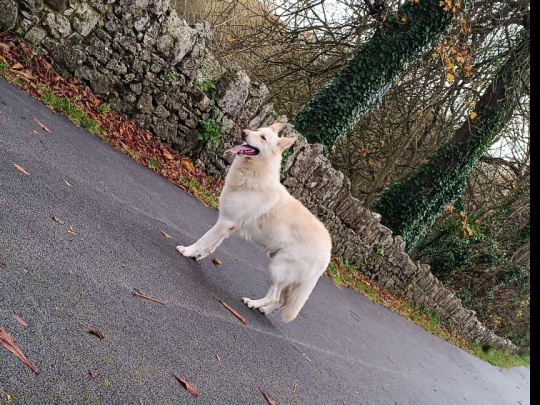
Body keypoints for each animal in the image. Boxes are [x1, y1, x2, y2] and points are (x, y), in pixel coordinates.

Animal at [177, 123, 332, 322]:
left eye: (263, 138)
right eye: (257, 130)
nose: (244, 132)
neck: (255, 173)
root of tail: (328, 252)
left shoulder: (225, 222)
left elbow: (203, 239)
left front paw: (187, 251)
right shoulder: (227, 225)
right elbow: (211, 245)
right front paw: (198, 255)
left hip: (278, 268)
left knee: (275, 297)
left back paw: (253, 303)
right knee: (281, 301)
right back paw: (263, 310)